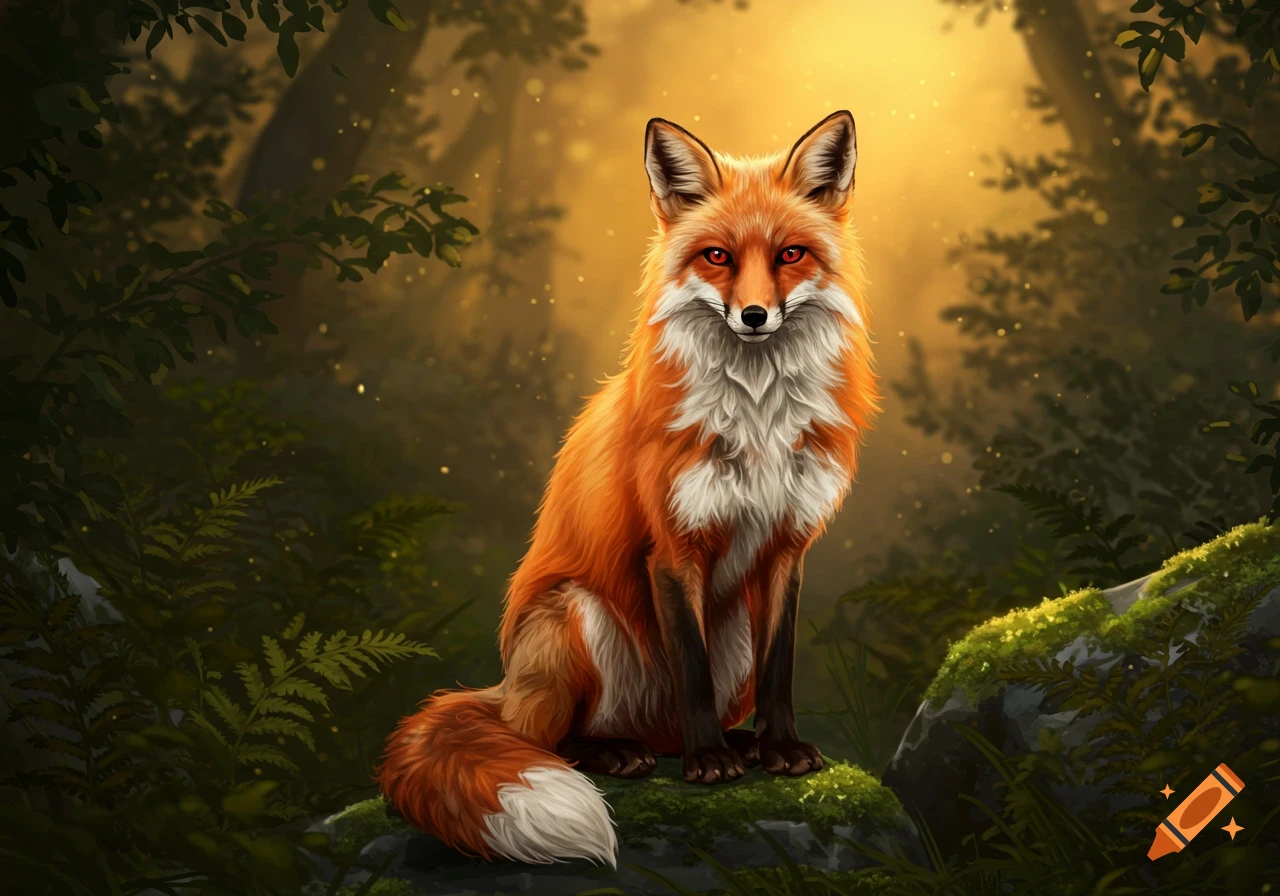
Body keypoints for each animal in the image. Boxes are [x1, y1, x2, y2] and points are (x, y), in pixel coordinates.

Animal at [376, 110, 878, 867]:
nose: (754, 316)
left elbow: (780, 669)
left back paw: (732, 741)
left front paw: (779, 748)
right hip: (573, 617)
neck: (757, 414)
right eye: (717, 257)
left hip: (726, 634)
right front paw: (708, 765)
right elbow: (691, 668)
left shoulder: (787, 546)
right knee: (547, 739)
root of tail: (502, 688)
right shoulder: (671, 547)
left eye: (791, 254)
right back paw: (621, 752)